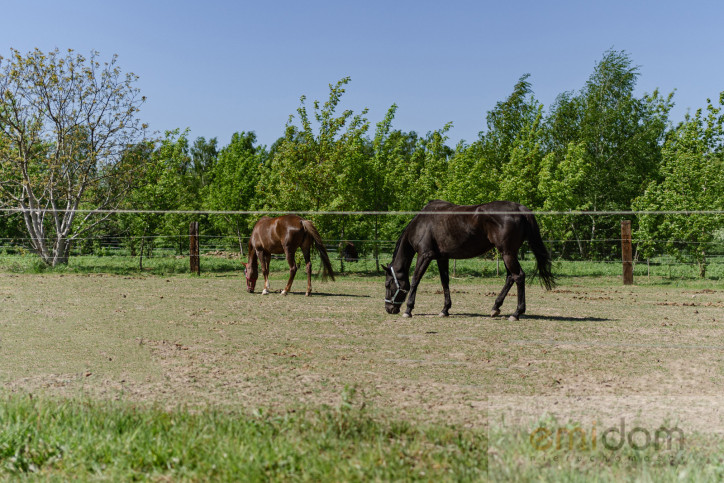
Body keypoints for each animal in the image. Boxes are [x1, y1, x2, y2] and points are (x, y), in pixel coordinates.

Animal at [384, 200, 556, 322]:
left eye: (388, 284)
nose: (389, 309)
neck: (422, 223)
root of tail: (520, 208)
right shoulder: (442, 258)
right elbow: (445, 282)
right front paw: (445, 310)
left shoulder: (425, 255)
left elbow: (415, 280)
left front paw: (408, 310)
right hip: (508, 254)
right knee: (510, 277)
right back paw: (495, 307)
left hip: (507, 253)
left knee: (518, 276)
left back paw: (516, 313)